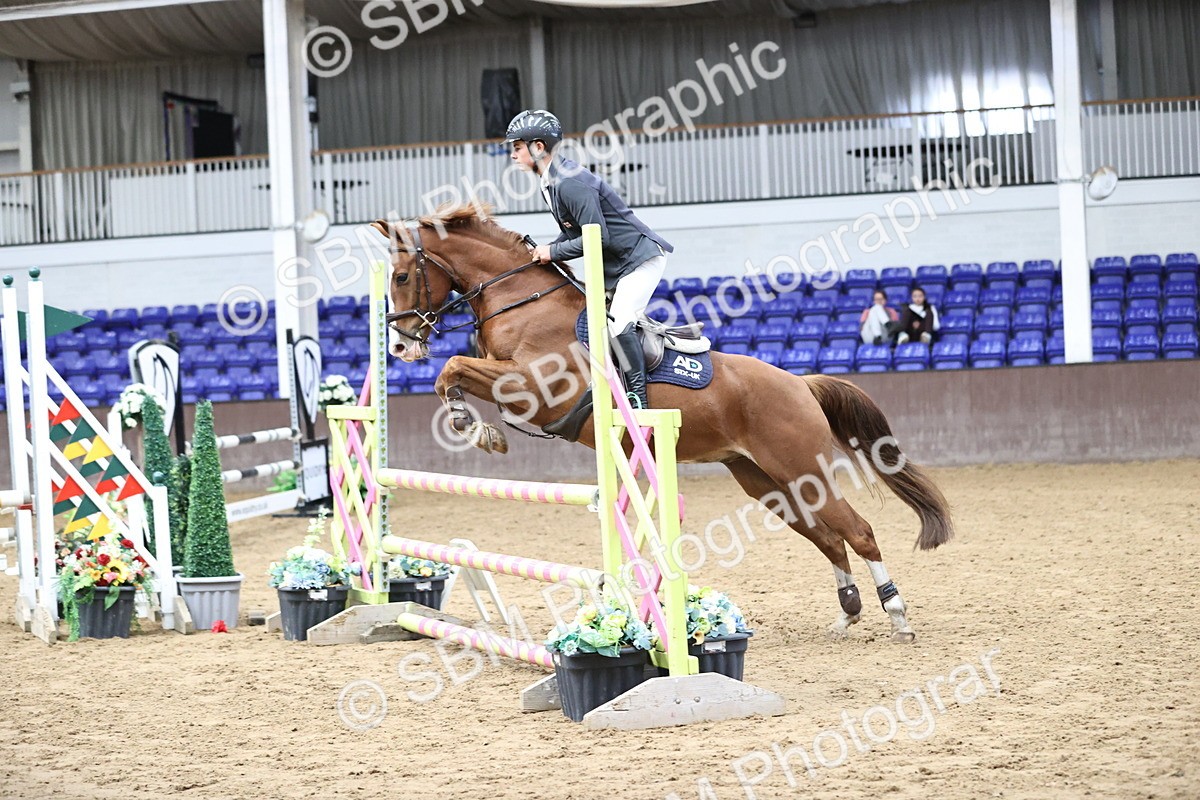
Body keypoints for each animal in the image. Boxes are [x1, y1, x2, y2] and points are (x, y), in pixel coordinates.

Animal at [370, 205, 953, 643]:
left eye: (402, 276)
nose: (399, 347)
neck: (522, 305)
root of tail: (799, 384)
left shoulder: (532, 388)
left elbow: (453, 368)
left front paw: (474, 427)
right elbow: (453, 373)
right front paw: (475, 426)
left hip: (800, 468)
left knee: (857, 530)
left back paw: (896, 615)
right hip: (767, 482)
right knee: (828, 538)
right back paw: (848, 613)